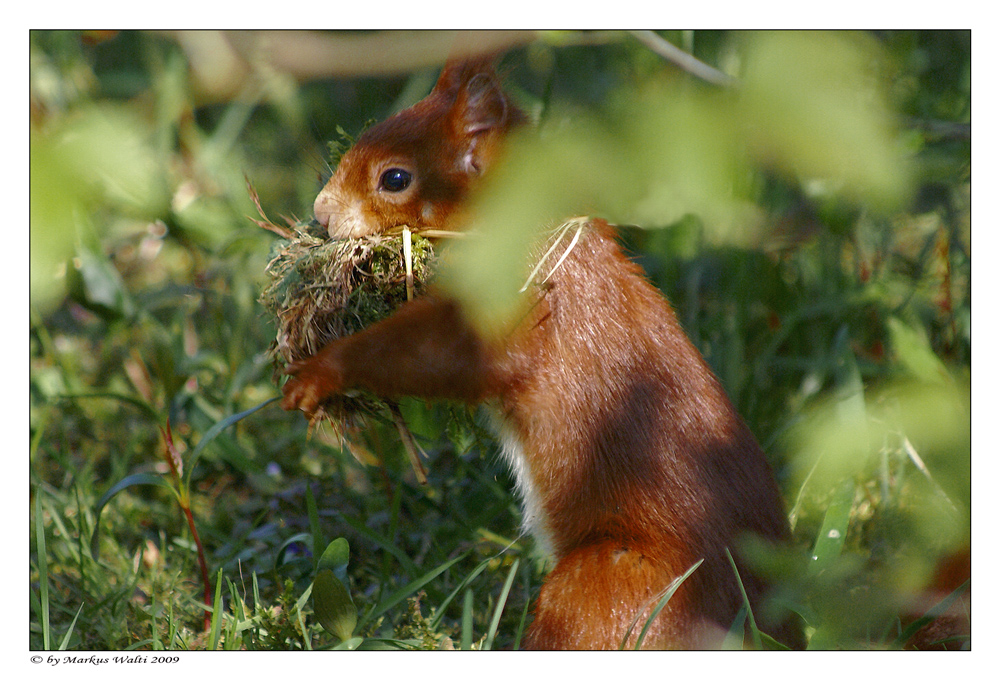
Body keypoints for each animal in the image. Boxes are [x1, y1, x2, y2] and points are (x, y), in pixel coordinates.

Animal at [282, 55, 796, 644]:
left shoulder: (518, 299)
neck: (527, 222)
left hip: (606, 588)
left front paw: (322, 369)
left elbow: (446, 354)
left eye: (395, 178)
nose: (321, 213)